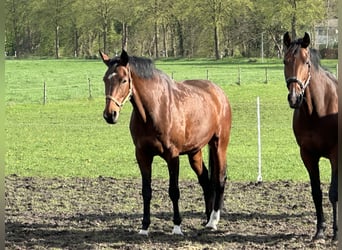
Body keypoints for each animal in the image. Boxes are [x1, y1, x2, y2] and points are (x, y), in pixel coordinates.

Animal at [99, 49, 232, 234]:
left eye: (124, 80)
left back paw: (213, 221)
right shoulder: (143, 155)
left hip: (219, 145)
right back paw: (206, 219)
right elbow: (146, 191)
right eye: (105, 79)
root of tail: (219, 93)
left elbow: (174, 191)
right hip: (195, 152)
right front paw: (144, 227)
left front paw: (177, 226)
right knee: (205, 181)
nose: (110, 115)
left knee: (219, 180)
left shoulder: (172, 156)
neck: (155, 110)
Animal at [282, 32, 338, 241]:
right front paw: (320, 230)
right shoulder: (308, 155)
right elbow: (316, 192)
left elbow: (333, 192)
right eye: (285, 61)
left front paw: (336, 232)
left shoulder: (335, 155)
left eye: (306, 62)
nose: (294, 98)